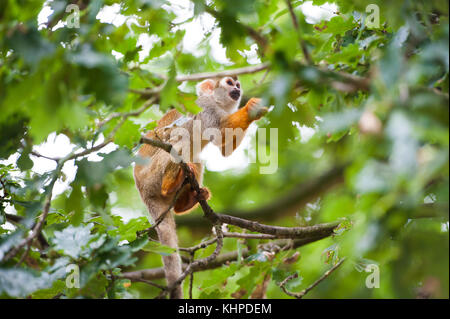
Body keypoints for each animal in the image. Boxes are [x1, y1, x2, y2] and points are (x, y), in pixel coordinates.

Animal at [134, 76, 268, 298]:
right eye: (230, 83)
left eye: (237, 85)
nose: (238, 89)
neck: (216, 102)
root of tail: (142, 190)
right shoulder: (205, 107)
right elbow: (220, 132)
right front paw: (251, 107)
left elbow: (225, 146)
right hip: (150, 176)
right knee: (178, 139)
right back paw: (169, 183)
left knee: (194, 157)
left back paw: (185, 200)